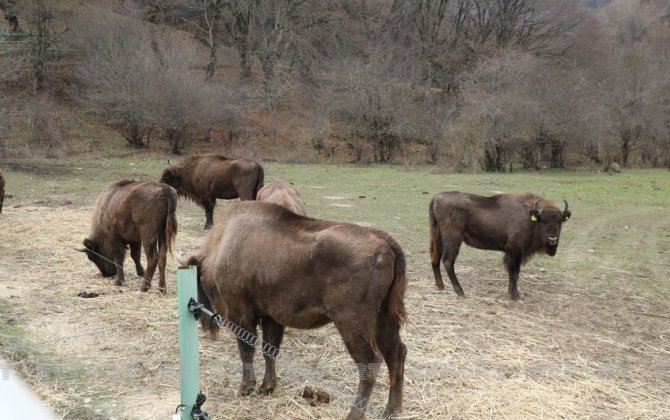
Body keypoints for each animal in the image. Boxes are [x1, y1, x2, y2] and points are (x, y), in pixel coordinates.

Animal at [181, 202, 406, 418]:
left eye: (198, 278)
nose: (203, 318)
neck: (222, 244)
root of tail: (386, 242)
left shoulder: (241, 314)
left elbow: (247, 349)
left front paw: (246, 388)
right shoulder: (270, 316)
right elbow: (269, 349)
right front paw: (267, 387)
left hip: (352, 324)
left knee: (370, 363)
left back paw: (354, 414)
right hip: (383, 319)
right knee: (397, 353)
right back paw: (391, 410)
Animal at [430, 192, 572, 300]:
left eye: (560, 221)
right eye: (543, 220)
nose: (552, 240)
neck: (529, 216)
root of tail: (437, 197)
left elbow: (514, 273)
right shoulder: (515, 251)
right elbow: (514, 273)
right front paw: (515, 295)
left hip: (438, 237)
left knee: (435, 258)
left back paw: (441, 286)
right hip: (453, 240)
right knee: (448, 261)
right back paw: (460, 291)